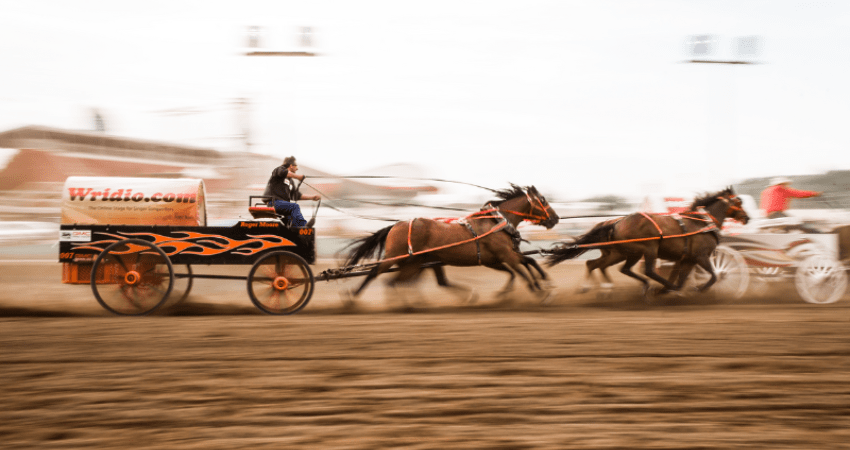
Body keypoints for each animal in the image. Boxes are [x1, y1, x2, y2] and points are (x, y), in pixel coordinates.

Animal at [342, 184, 560, 306]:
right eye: (543, 200)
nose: (555, 218)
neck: (496, 223)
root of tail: (397, 225)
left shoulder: (495, 259)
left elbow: (526, 263)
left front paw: (541, 283)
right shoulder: (505, 255)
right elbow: (522, 270)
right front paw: (540, 290)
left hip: (417, 261)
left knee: (400, 281)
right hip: (396, 257)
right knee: (376, 273)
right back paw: (352, 298)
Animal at [548, 187, 744, 296]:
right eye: (739, 202)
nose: (746, 217)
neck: (701, 222)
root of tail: (616, 223)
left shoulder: (687, 259)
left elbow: (682, 277)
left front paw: (672, 289)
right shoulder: (700, 256)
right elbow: (714, 275)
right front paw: (695, 289)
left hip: (620, 253)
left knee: (596, 264)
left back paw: (600, 288)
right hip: (646, 249)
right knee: (646, 270)